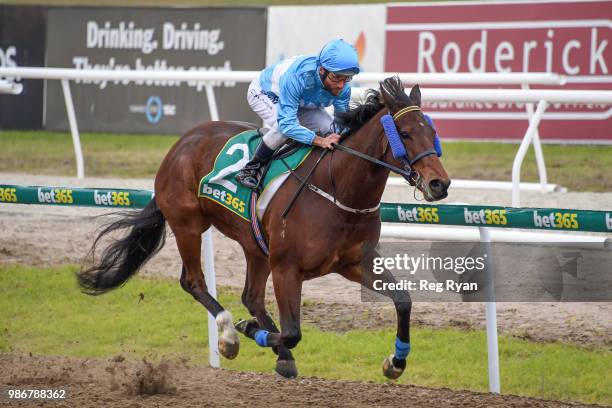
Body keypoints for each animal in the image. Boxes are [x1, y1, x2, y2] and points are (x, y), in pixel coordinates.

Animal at [77, 77, 450, 380]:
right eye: (405, 134)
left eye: (433, 132)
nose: (440, 184)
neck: (336, 189)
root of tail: (183, 142)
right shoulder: (287, 268)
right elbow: (293, 331)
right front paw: (246, 330)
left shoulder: (356, 262)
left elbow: (403, 300)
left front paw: (395, 362)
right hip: (188, 224)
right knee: (194, 281)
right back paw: (230, 334)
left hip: (254, 243)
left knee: (251, 296)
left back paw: (277, 353)